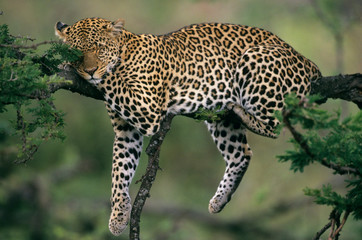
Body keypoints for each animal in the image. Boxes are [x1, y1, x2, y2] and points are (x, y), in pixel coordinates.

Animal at [55, 17, 320, 235]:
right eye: (77, 53)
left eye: (99, 49)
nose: (90, 71)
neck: (126, 51)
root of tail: (307, 60)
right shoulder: (125, 131)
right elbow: (119, 172)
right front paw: (119, 217)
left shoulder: (146, 107)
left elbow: (113, 78)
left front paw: (70, 68)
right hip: (220, 120)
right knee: (242, 153)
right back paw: (219, 201)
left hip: (256, 59)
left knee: (276, 124)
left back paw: (243, 113)